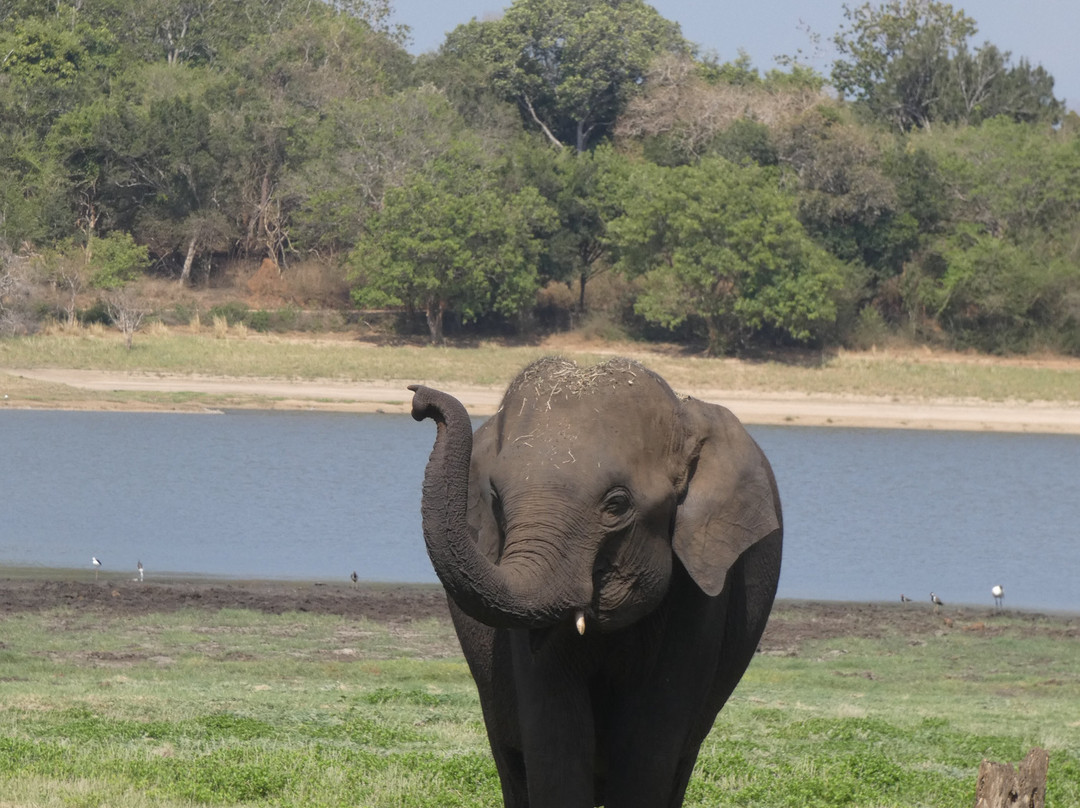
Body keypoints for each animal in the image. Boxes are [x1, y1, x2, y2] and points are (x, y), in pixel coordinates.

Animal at [409, 356, 782, 808]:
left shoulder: (700, 593)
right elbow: (554, 741)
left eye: (616, 504)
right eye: (495, 499)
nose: (419, 398)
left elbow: (649, 748)